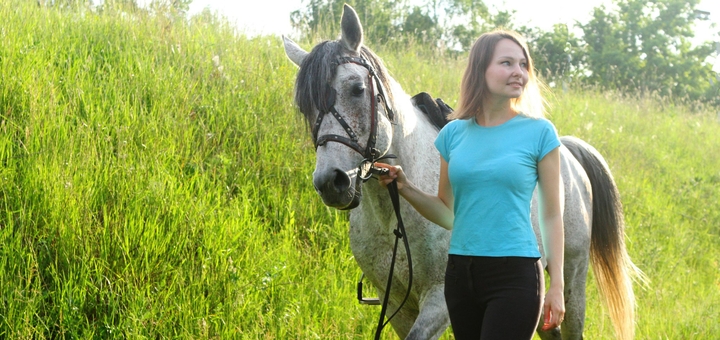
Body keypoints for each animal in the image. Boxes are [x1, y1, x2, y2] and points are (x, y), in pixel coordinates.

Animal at [282, 3, 640, 338]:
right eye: (305, 106)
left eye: (356, 88)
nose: (331, 182)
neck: (393, 219)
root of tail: (566, 152)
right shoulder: (397, 303)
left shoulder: (439, 299)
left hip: (571, 283)